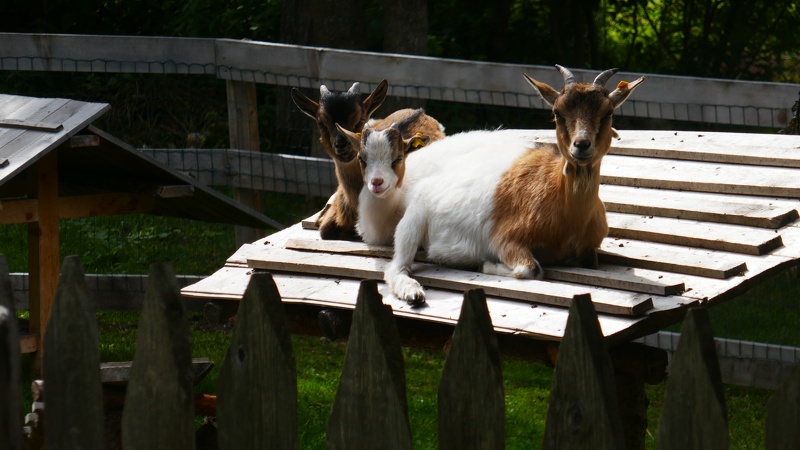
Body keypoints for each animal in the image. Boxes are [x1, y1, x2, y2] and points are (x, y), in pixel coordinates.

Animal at [384, 66, 648, 306]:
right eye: (557, 112)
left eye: (608, 112)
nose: (581, 145)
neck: (568, 218)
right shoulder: (506, 239)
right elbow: (531, 269)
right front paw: (487, 264)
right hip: (413, 217)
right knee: (396, 266)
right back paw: (413, 293)